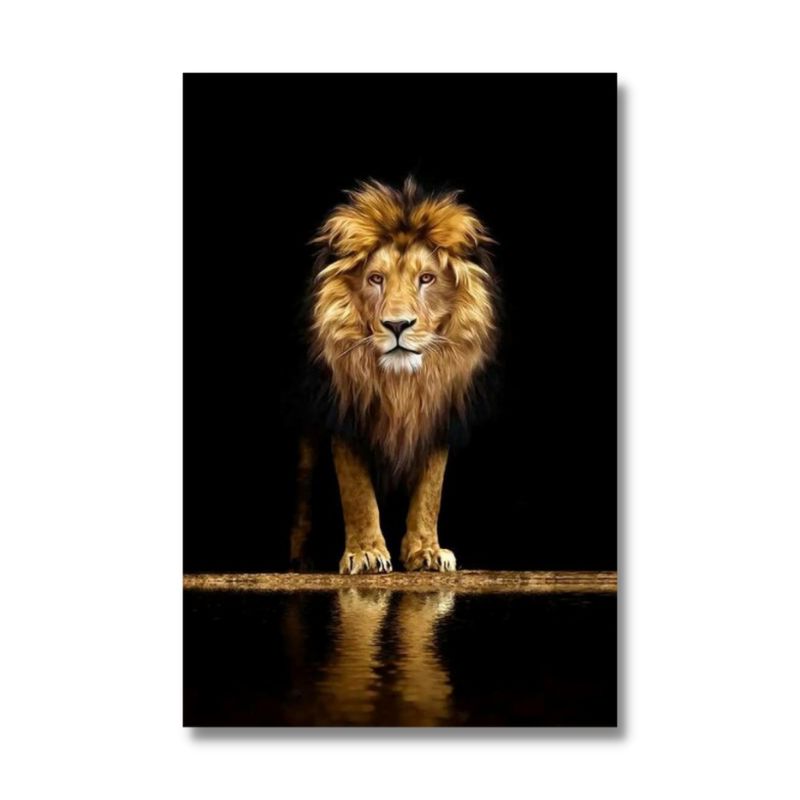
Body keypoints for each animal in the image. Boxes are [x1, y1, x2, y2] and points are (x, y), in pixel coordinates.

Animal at [289, 177, 499, 574]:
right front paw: (366, 553)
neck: (400, 384)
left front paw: (427, 551)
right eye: (375, 279)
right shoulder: (345, 414)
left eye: (427, 279)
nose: (398, 325)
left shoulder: (437, 413)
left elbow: (430, 491)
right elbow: (356, 491)